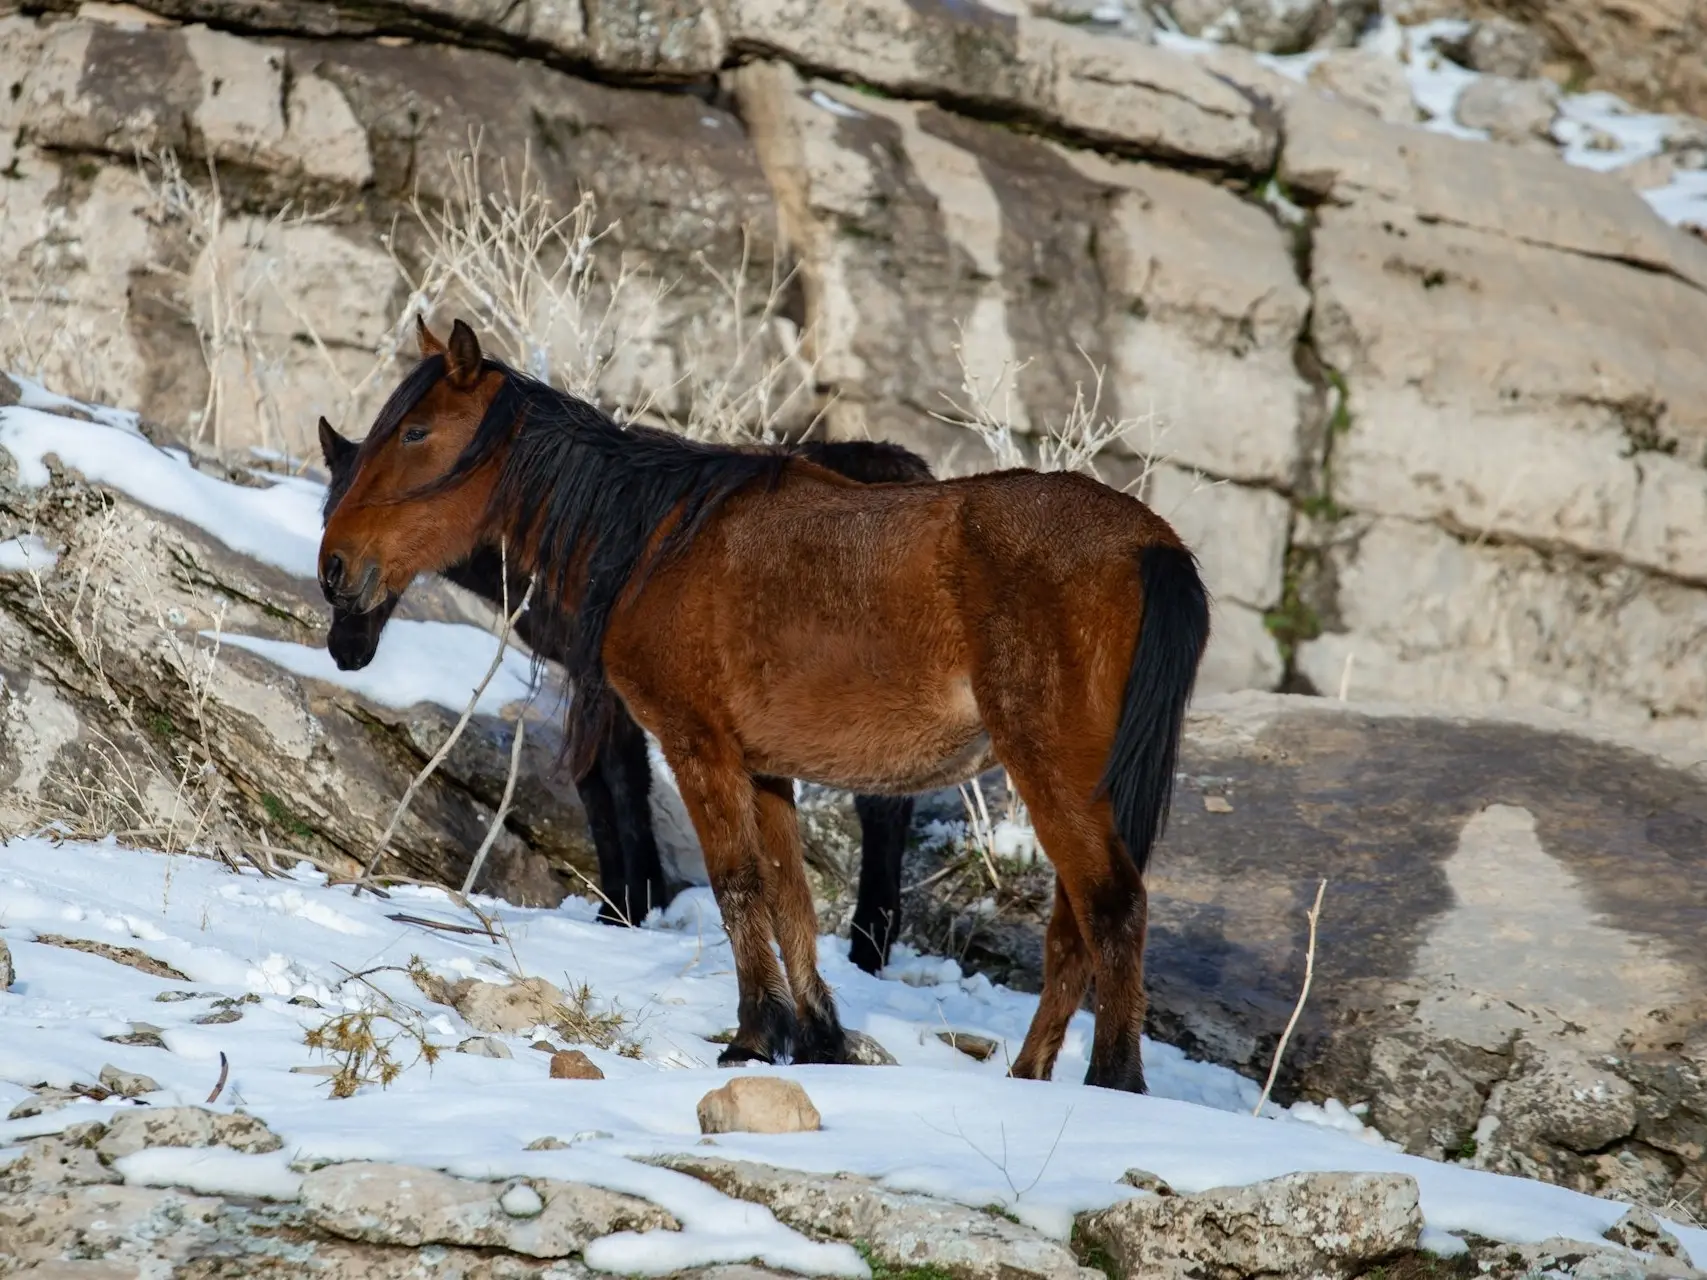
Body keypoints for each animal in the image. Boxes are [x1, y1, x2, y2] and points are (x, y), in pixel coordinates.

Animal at [320, 421, 935, 969]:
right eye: (327, 515)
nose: (345, 647)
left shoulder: (603, 679)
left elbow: (615, 778)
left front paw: (628, 906)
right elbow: (600, 781)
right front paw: (632, 898)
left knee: (881, 804)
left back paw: (868, 946)